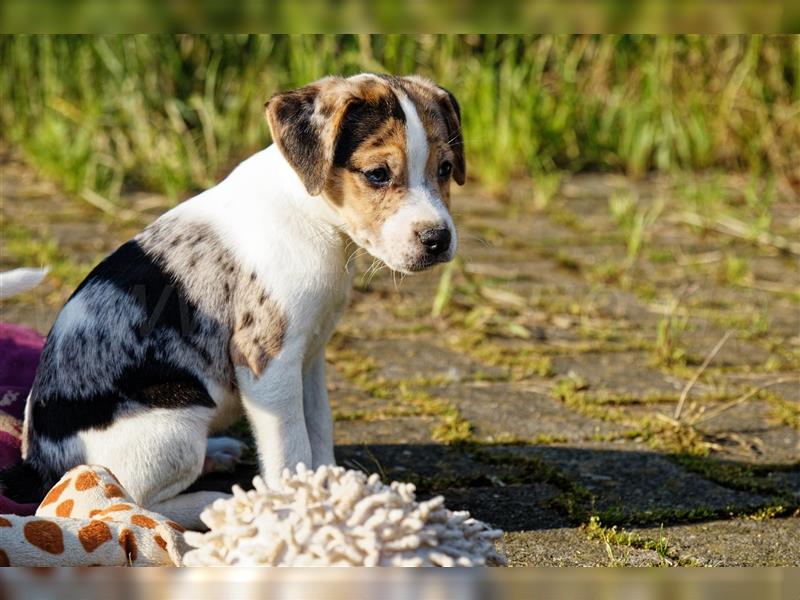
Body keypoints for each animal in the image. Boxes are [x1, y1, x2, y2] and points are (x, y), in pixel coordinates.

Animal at [0, 74, 466, 524]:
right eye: (377, 174)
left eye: (445, 168)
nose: (438, 239)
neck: (314, 218)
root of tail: (34, 466)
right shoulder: (268, 363)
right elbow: (291, 452)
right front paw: (295, 509)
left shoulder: (310, 357)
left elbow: (319, 429)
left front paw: (330, 492)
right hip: (175, 423)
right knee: (124, 497)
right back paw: (214, 502)